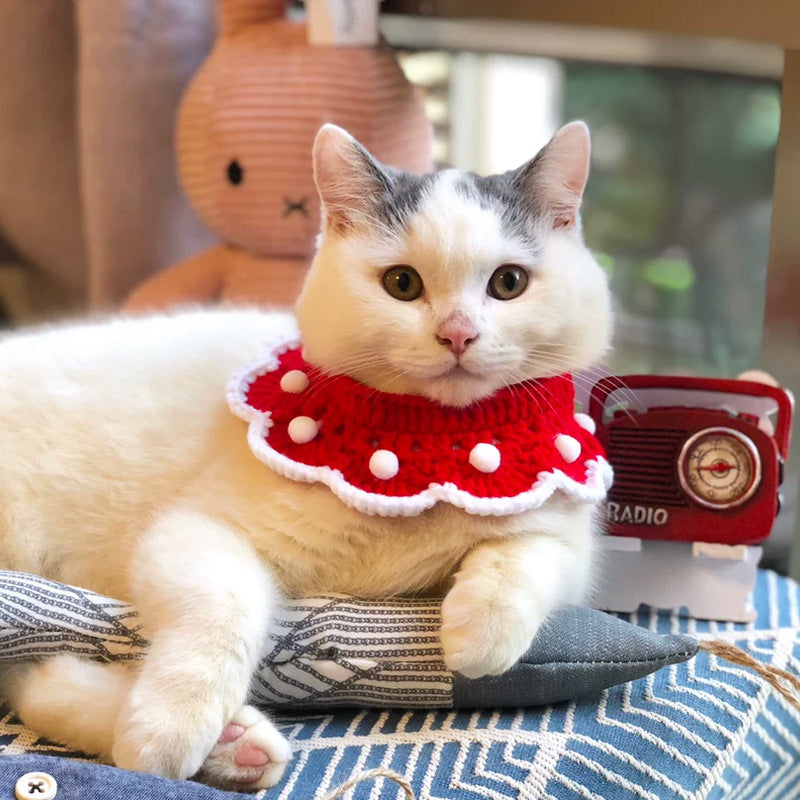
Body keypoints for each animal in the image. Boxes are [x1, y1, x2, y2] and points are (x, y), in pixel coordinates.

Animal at [0, 122, 608, 792]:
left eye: (509, 283)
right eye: (402, 284)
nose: (458, 333)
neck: (424, 445)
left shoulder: (569, 537)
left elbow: (531, 554)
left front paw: (481, 633)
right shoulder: (198, 529)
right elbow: (223, 607)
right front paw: (173, 719)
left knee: (39, 679)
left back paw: (233, 747)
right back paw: (195, 741)